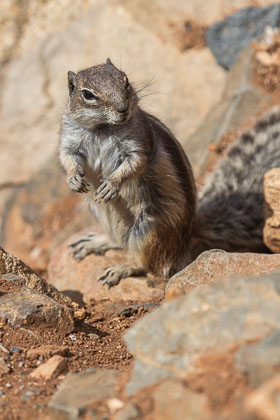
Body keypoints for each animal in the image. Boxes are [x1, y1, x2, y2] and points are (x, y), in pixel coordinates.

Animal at [59, 59, 280, 288]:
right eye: (87, 94)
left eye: (125, 80)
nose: (122, 108)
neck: (102, 128)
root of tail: (189, 234)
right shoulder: (69, 140)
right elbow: (67, 158)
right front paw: (73, 179)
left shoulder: (140, 143)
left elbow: (134, 165)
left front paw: (112, 184)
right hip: (103, 215)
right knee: (120, 242)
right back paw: (96, 242)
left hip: (149, 231)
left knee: (149, 263)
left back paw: (122, 268)